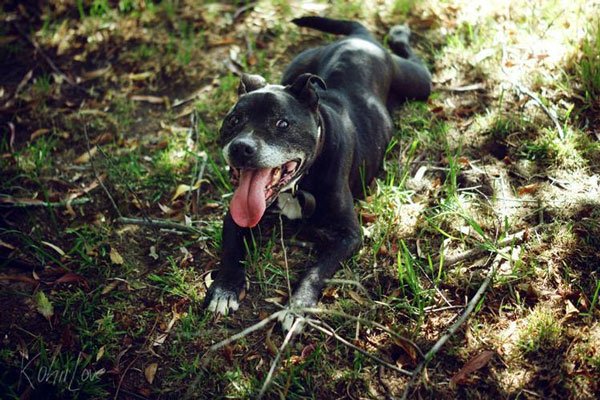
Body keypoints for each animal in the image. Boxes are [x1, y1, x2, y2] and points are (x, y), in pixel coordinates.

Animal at [206, 16, 432, 332]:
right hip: (294, 70)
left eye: (282, 123)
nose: (241, 148)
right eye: (234, 120)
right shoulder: (235, 215)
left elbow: (316, 270)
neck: (297, 185)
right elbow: (230, 247)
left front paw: (298, 306)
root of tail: (360, 38)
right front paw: (224, 288)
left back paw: (399, 33)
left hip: (418, 82)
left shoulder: (348, 235)